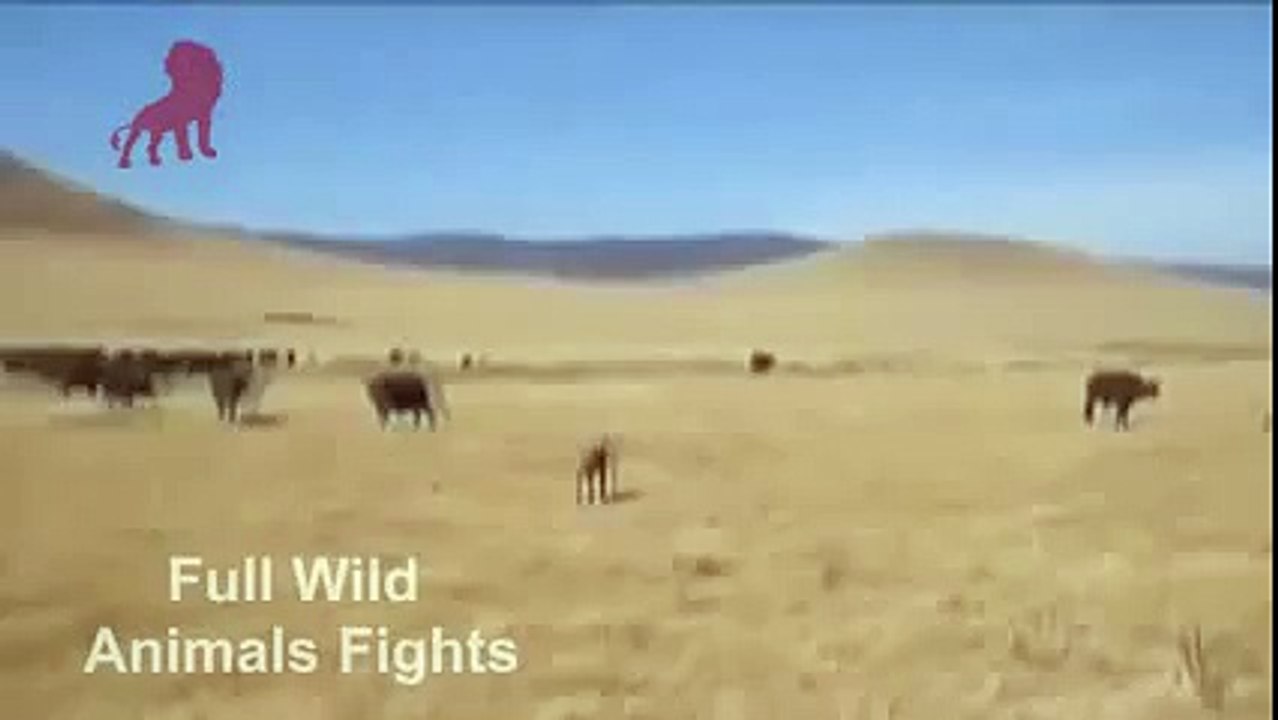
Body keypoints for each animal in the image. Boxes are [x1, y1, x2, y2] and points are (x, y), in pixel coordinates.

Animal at [110, 40, 224, 169]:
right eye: (174, 60)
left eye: (189, 57)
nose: (168, 67)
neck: (191, 88)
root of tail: (136, 118)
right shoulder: (180, 121)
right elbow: (183, 138)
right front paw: (186, 156)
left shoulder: (204, 117)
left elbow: (204, 137)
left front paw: (207, 152)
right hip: (137, 131)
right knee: (129, 144)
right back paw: (124, 163)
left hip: (156, 132)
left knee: (150, 147)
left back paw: (155, 161)